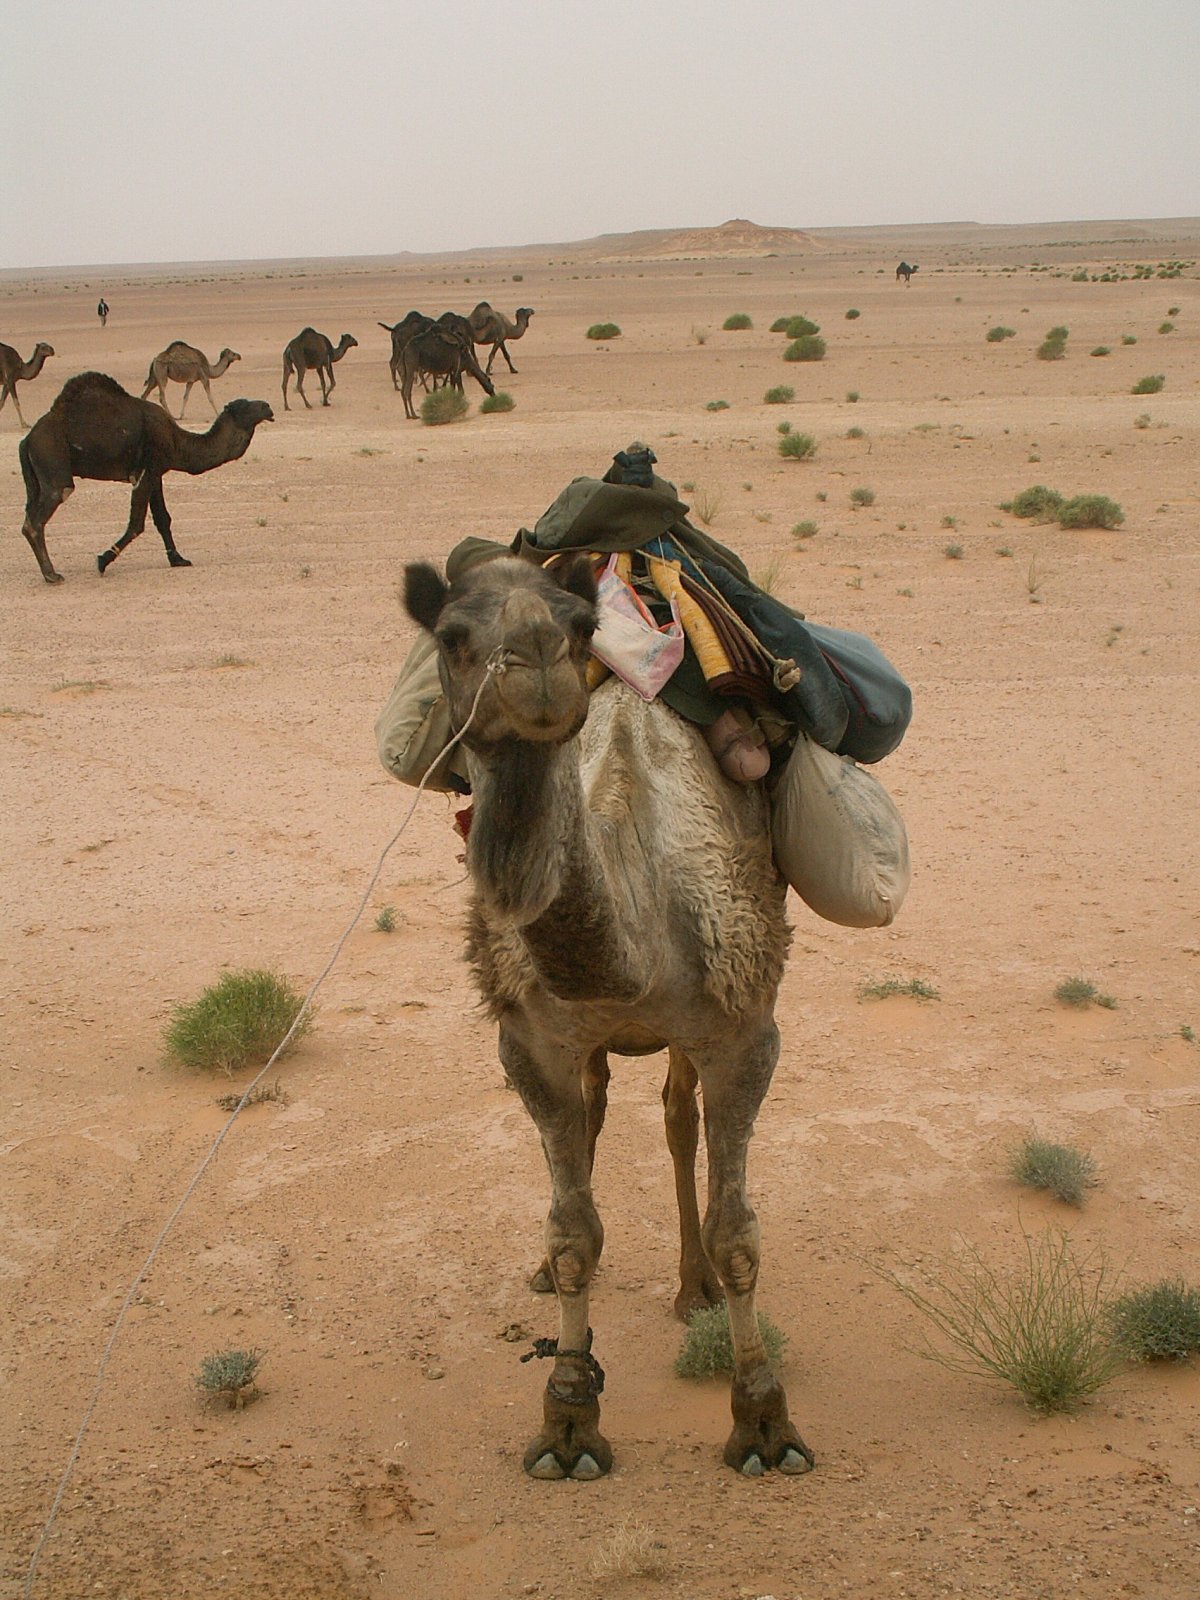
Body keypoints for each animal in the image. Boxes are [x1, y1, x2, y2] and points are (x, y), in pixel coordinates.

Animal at [19, 372, 273, 583]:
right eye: (244, 406)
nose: (268, 407)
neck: (177, 442)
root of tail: (28, 439)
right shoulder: (146, 470)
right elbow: (137, 523)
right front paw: (103, 561)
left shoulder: (157, 472)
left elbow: (162, 518)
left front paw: (178, 559)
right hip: (53, 461)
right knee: (43, 511)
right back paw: (51, 574)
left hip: (36, 479)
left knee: (31, 512)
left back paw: (48, 572)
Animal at [402, 553, 812, 1483]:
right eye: (451, 634)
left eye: (579, 625)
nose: (536, 662)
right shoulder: (532, 1043)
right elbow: (572, 1234)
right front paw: (567, 1422)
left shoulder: (744, 1034)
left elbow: (739, 1235)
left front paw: (764, 1424)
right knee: (594, 1114)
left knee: (675, 1119)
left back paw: (691, 1287)